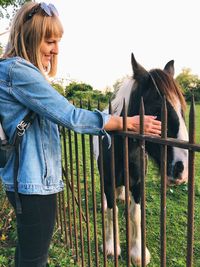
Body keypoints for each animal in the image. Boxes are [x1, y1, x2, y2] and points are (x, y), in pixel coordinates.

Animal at [94, 53, 188, 266]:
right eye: (158, 109)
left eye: (182, 110)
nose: (181, 168)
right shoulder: (109, 182)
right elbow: (112, 211)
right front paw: (111, 247)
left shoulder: (138, 184)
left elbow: (135, 214)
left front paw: (138, 252)